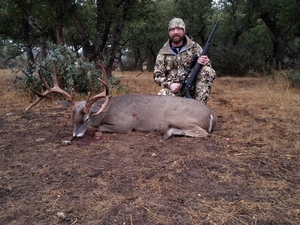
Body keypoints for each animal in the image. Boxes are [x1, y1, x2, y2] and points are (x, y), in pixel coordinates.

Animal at [25, 59, 217, 141]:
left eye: (86, 118)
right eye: (71, 118)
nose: (76, 136)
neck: (105, 111)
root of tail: (211, 114)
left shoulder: (125, 125)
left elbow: (99, 127)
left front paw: (97, 131)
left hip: (179, 117)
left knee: (203, 133)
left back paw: (169, 133)